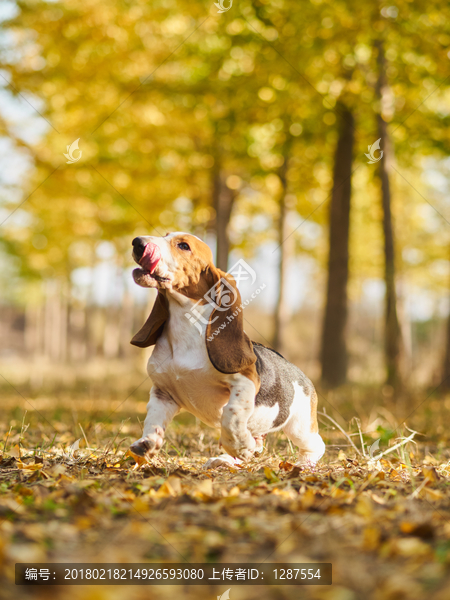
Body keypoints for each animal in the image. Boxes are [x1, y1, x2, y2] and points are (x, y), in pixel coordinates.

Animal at [128, 232, 326, 466]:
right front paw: (146, 444)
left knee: (316, 445)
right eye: (165, 235)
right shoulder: (163, 392)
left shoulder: (244, 382)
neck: (185, 327)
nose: (138, 242)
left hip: (299, 427)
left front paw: (241, 447)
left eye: (184, 246)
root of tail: (301, 375)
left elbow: (231, 415)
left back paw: (302, 464)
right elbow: (153, 419)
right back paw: (224, 459)